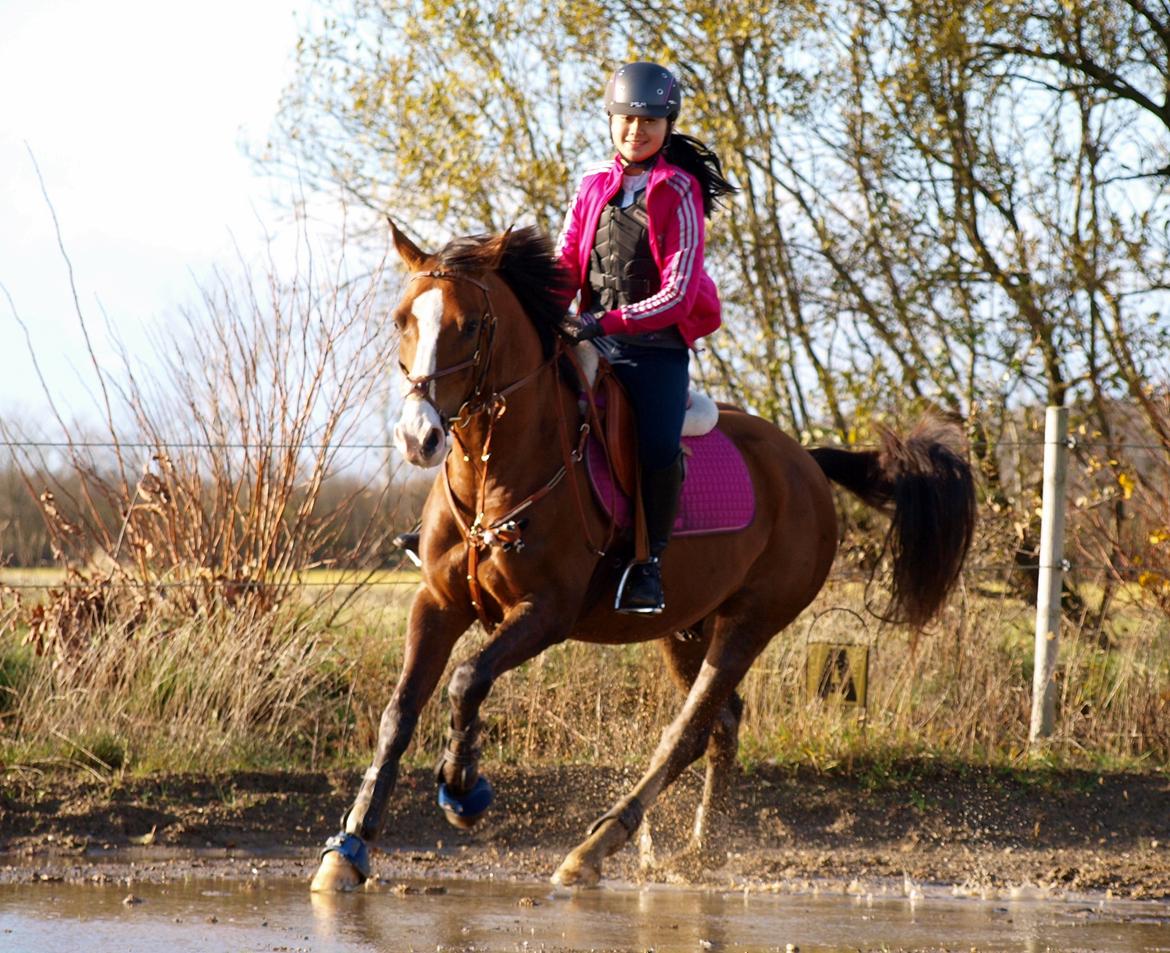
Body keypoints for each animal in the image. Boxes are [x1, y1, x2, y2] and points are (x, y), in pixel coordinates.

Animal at [306, 223, 973, 893]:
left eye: (469, 326)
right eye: (401, 321)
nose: (418, 438)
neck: (493, 480)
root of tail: (805, 461)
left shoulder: (545, 613)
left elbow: (468, 679)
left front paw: (463, 790)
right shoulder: (439, 603)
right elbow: (399, 713)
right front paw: (350, 846)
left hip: (751, 621)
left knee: (688, 731)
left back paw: (596, 847)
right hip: (684, 626)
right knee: (721, 723)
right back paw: (700, 850)